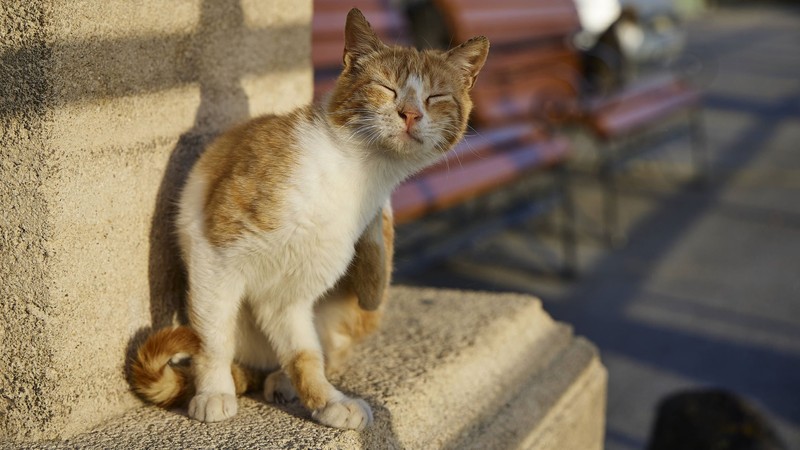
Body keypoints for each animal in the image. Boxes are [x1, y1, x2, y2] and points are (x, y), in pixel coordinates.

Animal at [131, 6, 488, 428]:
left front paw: (326, 401)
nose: (411, 114)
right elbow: (213, 337)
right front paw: (214, 392)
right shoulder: (215, 255)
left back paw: (282, 382)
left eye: (436, 97)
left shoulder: (288, 296)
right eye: (386, 88)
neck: (355, 176)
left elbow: (305, 356)